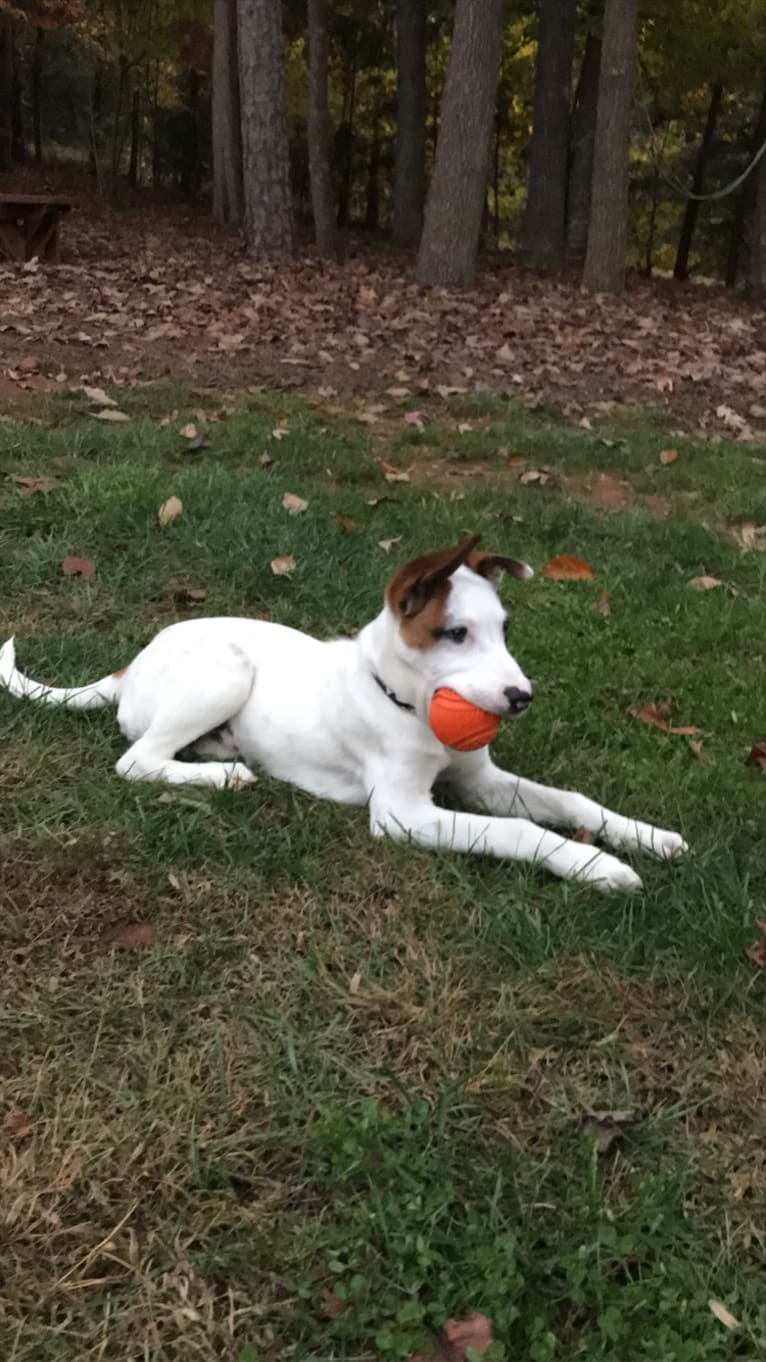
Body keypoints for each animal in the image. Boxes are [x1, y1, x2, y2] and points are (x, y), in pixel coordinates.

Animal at [1, 531, 686, 893]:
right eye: (455, 634)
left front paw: (648, 837)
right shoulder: (404, 815)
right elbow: (519, 831)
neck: (407, 704)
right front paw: (597, 866)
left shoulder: (479, 780)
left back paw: (219, 750)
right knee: (136, 760)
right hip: (228, 670)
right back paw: (222, 774)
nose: (522, 697)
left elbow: (572, 801)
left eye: (504, 629)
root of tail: (132, 664)